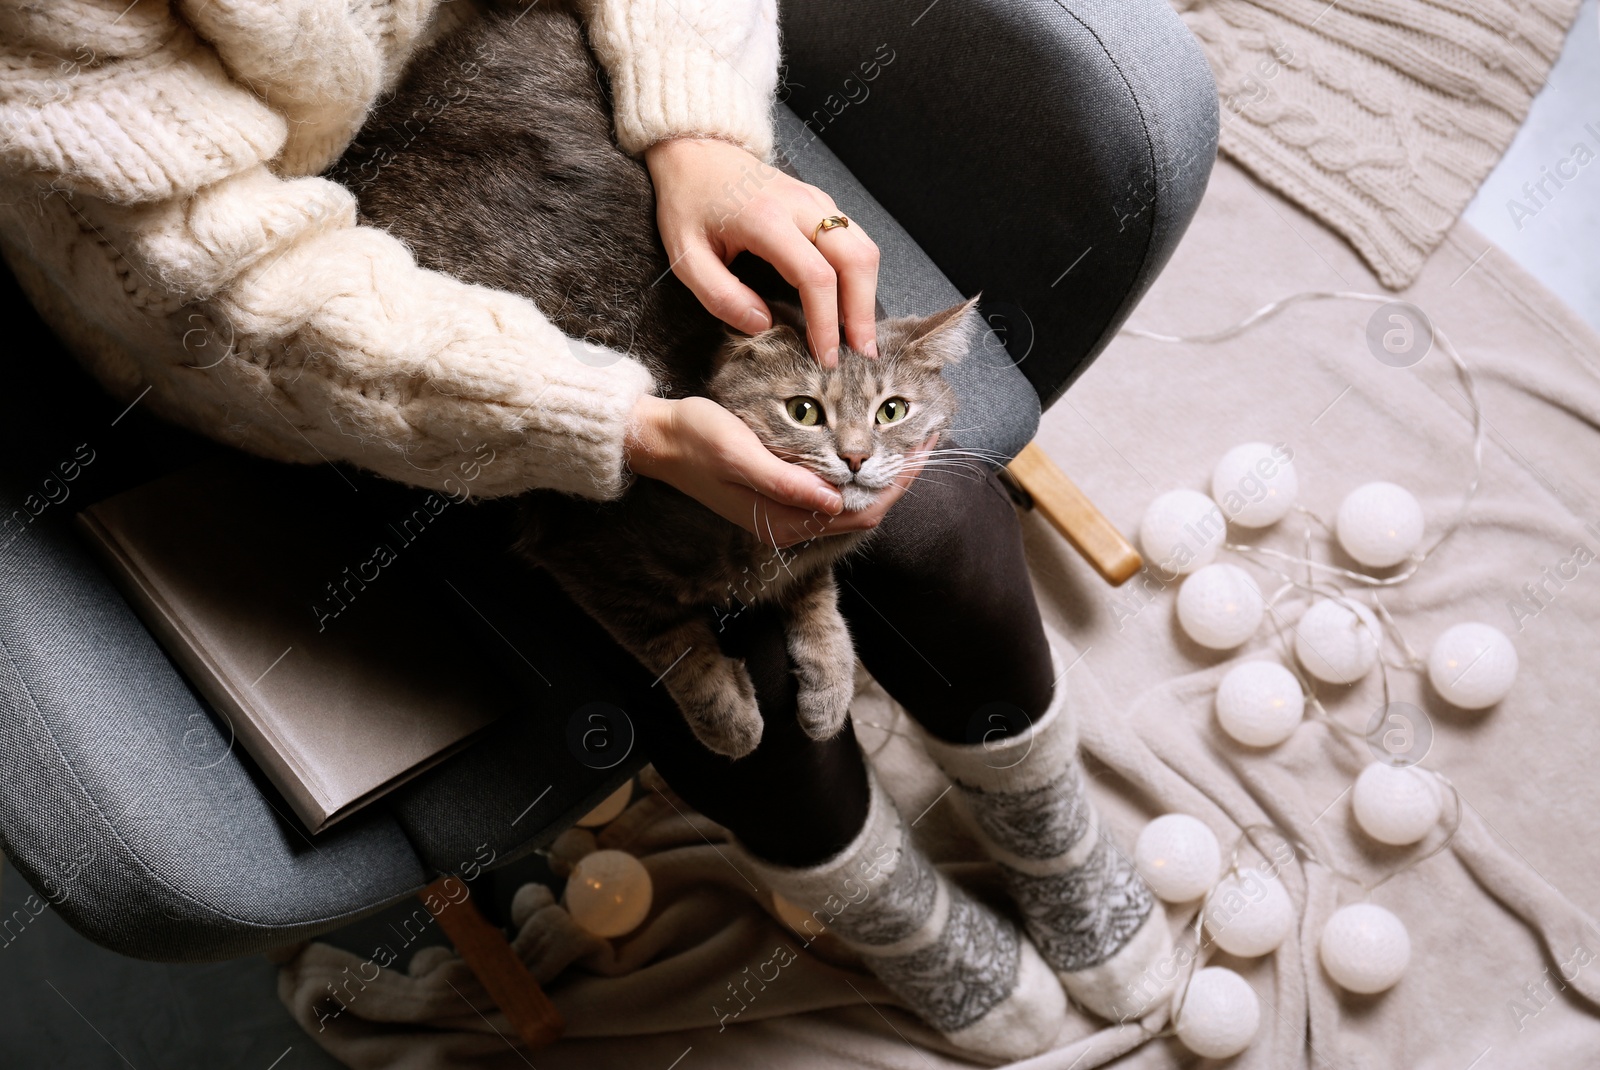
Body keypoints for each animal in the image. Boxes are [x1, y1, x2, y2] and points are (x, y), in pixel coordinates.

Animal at [336, 0, 972, 754]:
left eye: (892, 411)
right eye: (804, 411)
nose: (853, 457)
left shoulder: (810, 561)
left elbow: (820, 596)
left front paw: (829, 686)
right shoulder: (584, 551)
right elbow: (675, 641)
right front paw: (730, 717)